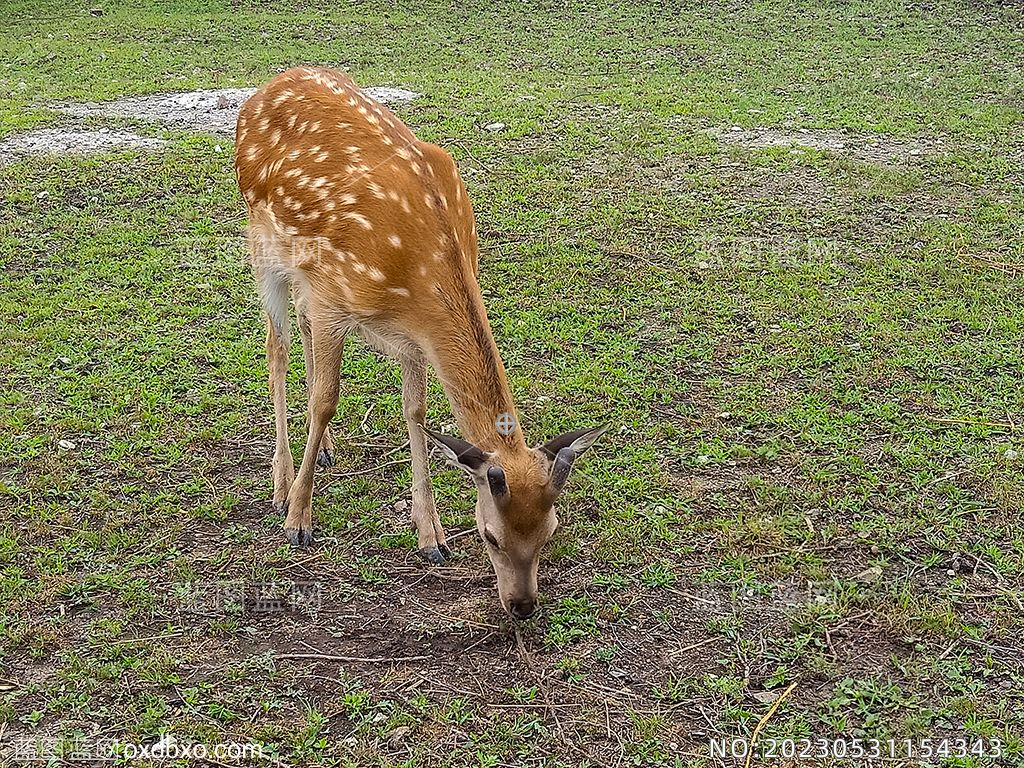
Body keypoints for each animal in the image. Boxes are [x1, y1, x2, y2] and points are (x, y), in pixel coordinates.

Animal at [235, 66, 602, 618]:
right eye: (490, 536)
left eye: (551, 532)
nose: (522, 605)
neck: (418, 267)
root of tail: (270, 84)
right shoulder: (334, 297)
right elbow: (326, 399)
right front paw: (299, 519)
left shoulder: (409, 334)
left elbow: (417, 413)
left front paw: (432, 535)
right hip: (263, 242)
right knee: (275, 346)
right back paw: (282, 482)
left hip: (301, 272)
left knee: (297, 326)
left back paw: (324, 452)